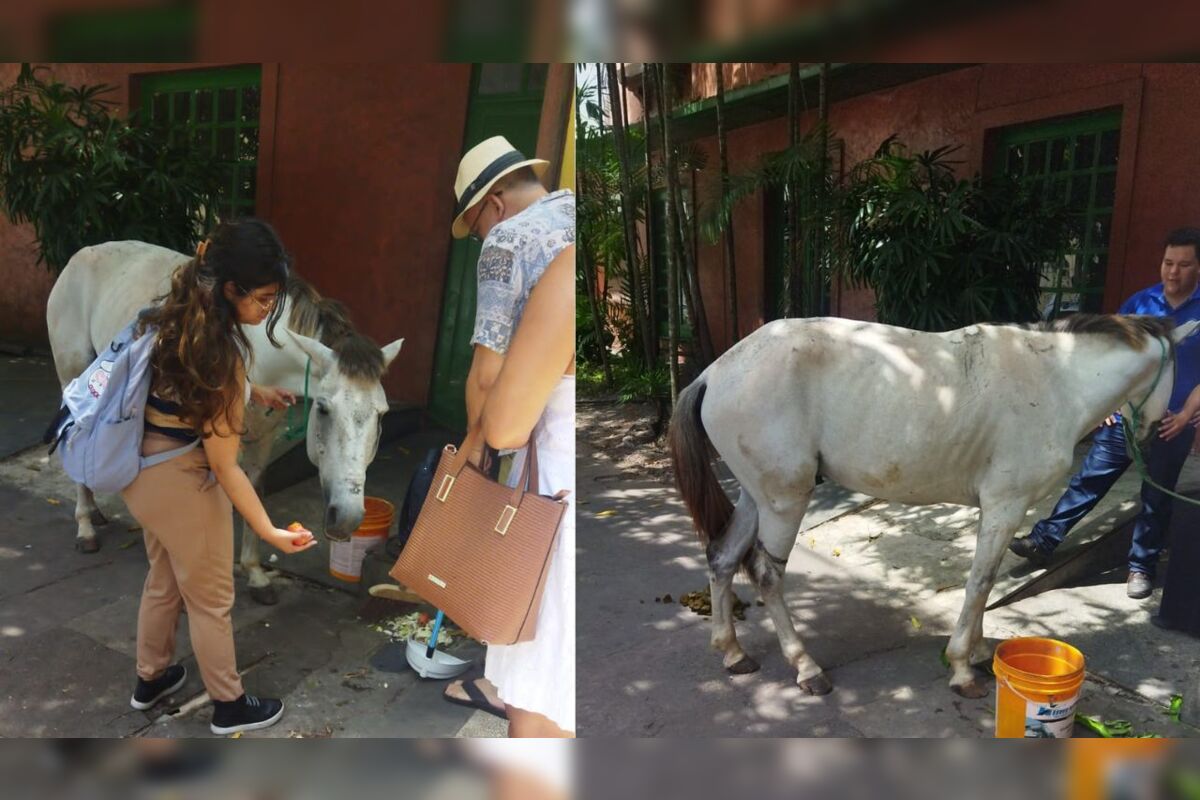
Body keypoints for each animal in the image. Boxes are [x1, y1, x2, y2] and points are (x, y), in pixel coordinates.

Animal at [45, 241, 403, 604]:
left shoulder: (263, 438)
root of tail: (83, 253)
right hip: (72, 371)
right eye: (324, 409)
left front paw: (255, 574)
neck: (260, 353)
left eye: (382, 414)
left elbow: (253, 493)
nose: (347, 519)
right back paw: (86, 526)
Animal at [672, 316, 1195, 695]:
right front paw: (963, 668)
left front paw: (980, 654)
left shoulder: (1002, 511)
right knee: (767, 575)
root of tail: (715, 372)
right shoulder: (1005, 506)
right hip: (785, 501)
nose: (1155, 434)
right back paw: (806, 667)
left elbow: (985, 584)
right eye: (1181, 372)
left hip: (756, 497)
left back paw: (733, 652)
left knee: (722, 558)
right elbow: (980, 582)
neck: (1054, 382)